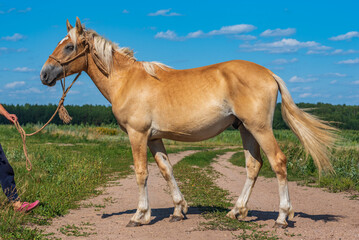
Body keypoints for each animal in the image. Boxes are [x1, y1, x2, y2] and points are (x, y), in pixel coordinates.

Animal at [40, 17, 338, 228]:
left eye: (69, 46)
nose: (44, 74)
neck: (126, 80)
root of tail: (269, 73)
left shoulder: (138, 134)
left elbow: (141, 173)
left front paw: (140, 215)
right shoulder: (154, 137)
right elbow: (166, 170)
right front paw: (177, 210)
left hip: (260, 129)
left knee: (278, 162)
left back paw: (282, 217)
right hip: (245, 130)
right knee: (253, 166)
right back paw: (236, 211)